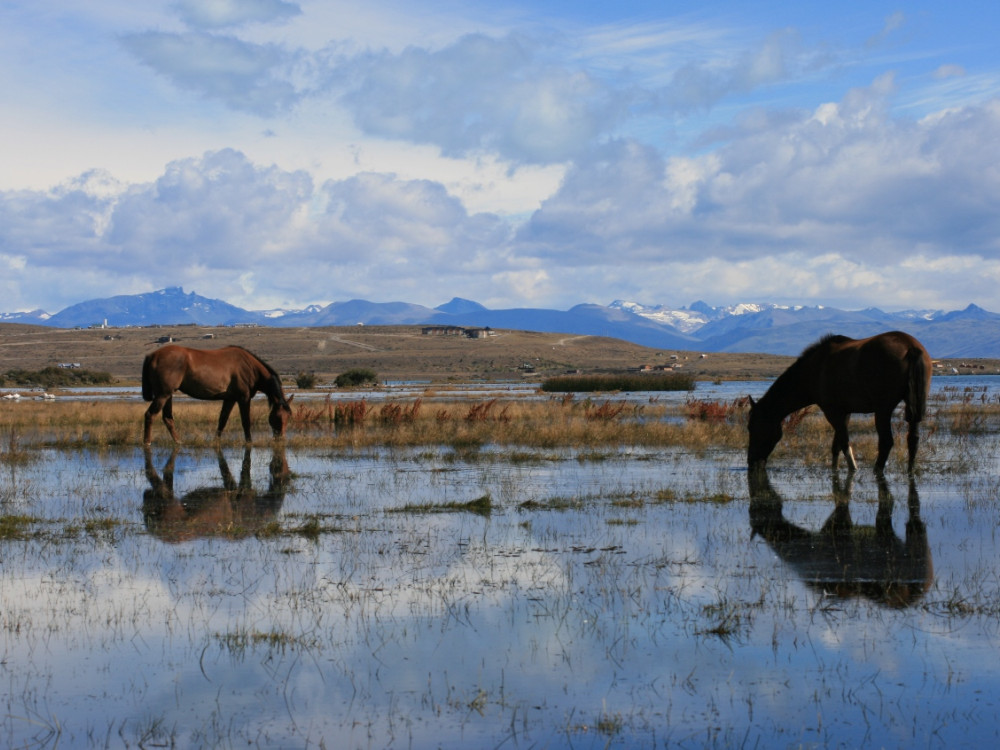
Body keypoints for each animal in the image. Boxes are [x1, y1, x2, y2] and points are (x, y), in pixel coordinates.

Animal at [142, 345, 293, 444]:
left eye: (288, 417)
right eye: (277, 417)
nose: (281, 439)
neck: (250, 367)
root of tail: (152, 356)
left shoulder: (230, 399)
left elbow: (222, 420)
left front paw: (216, 440)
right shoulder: (243, 398)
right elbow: (246, 421)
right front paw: (249, 441)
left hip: (168, 395)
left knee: (167, 418)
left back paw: (178, 441)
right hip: (162, 395)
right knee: (150, 415)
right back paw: (147, 442)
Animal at [747, 331, 931, 473]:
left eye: (752, 427)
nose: (751, 462)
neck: (814, 370)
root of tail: (910, 347)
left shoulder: (832, 412)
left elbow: (843, 442)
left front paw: (852, 469)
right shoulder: (844, 412)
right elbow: (836, 445)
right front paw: (834, 469)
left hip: (883, 410)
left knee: (886, 442)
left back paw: (877, 470)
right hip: (913, 407)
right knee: (913, 439)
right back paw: (910, 470)